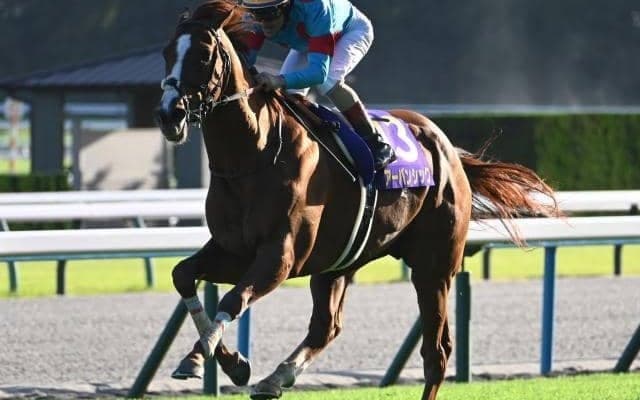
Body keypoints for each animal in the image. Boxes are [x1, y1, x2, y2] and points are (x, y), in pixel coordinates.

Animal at [154, 1, 558, 399]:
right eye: (167, 52)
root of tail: (448, 149)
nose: (168, 113)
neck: (254, 154)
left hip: (434, 266)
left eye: (204, 54)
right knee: (327, 326)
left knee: (437, 351)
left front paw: (212, 359)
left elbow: (233, 300)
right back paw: (276, 378)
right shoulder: (233, 249)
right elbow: (183, 275)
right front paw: (218, 361)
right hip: (338, 262)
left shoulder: (280, 256)